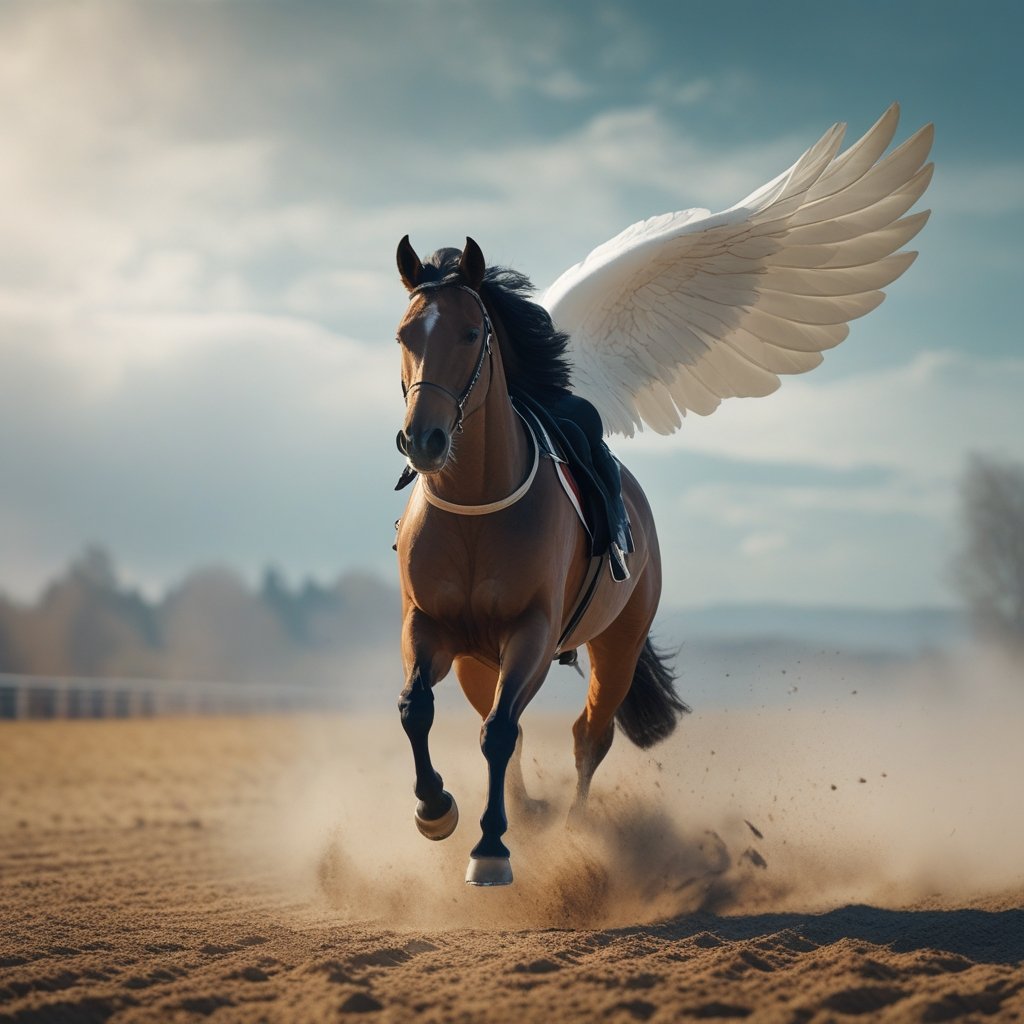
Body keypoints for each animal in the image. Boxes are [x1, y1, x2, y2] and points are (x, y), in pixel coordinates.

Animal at [393, 235, 688, 886]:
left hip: (617, 646)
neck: (477, 507)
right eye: (404, 334)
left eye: (471, 333)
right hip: (476, 661)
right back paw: (527, 812)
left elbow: (500, 731)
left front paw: (490, 849)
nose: (423, 440)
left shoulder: (531, 633)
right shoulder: (429, 626)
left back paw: (575, 831)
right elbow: (417, 709)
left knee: (589, 736)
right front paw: (435, 809)